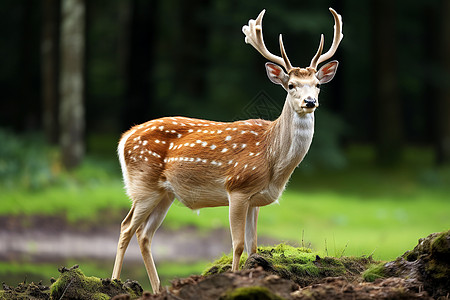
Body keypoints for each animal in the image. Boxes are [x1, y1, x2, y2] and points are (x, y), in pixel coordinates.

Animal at [111, 7, 342, 292]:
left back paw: (157, 289)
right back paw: (114, 282)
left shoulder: (256, 200)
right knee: (126, 227)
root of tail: (124, 138)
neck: (272, 162)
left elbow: (254, 246)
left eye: (318, 84)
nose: (310, 102)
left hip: (165, 193)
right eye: (291, 86)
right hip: (143, 185)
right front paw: (234, 281)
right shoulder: (237, 188)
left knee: (144, 234)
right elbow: (238, 244)